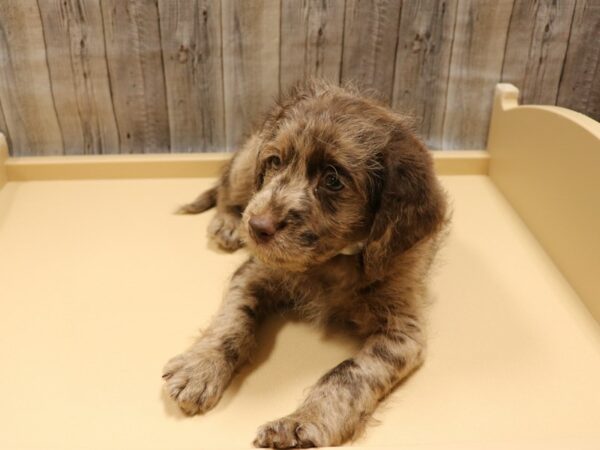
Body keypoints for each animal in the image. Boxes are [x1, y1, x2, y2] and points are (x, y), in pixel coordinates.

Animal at [162, 80, 448, 446]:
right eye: (275, 161)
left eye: (333, 180)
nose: (256, 227)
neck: (331, 264)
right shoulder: (255, 271)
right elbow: (232, 320)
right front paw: (200, 367)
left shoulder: (403, 330)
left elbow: (350, 373)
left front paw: (301, 423)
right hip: (245, 165)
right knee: (226, 188)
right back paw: (227, 222)